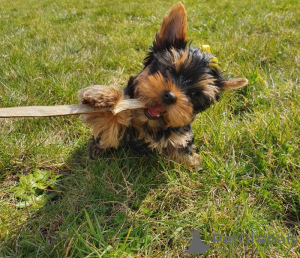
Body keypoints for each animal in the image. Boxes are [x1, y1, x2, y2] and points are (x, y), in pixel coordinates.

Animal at [78, 2, 248, 167]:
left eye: (194, 94)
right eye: (168, 69)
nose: (170, 96)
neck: (149, 124)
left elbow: (179, 147)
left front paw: (191, 162)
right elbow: (110, 124)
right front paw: (105, 97)